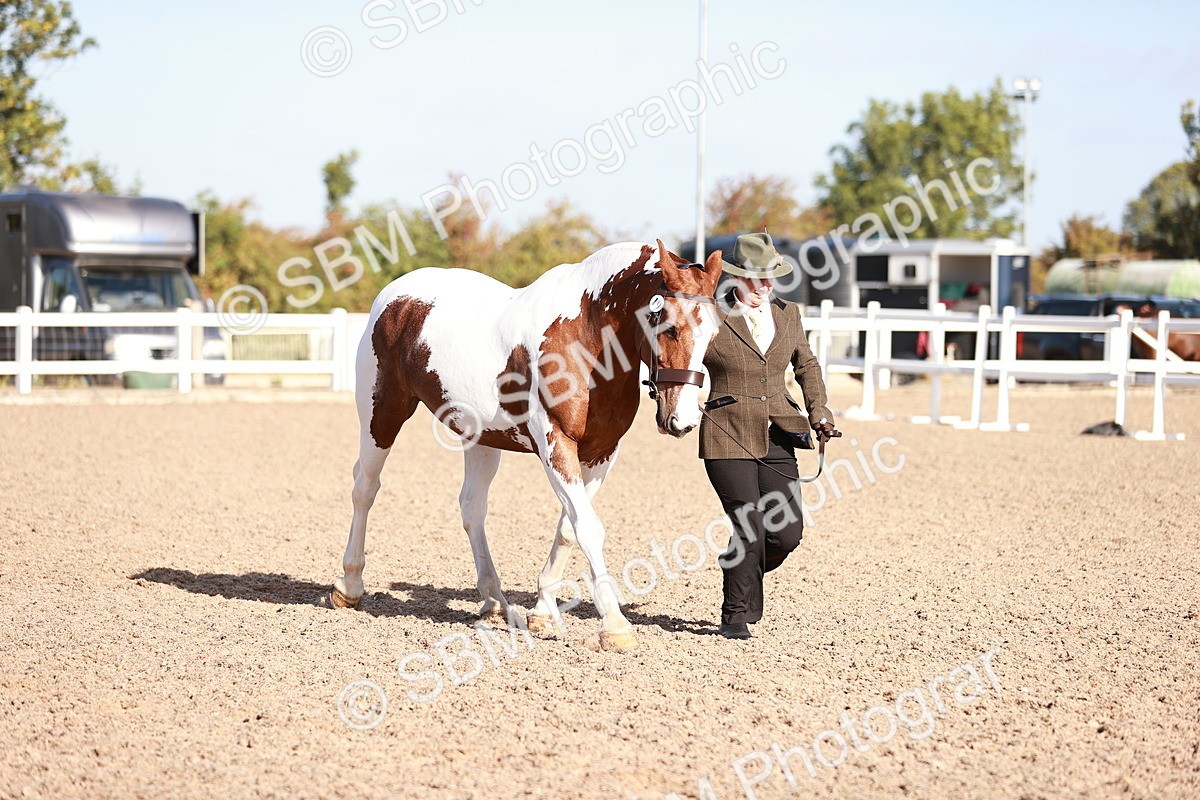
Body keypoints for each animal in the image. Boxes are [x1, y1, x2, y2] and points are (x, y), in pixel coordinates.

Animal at [330, 240, 724, 652]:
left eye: (714, 335)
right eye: (670, 327)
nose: (682, 421)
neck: (584, 334)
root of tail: (395, 296)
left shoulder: (602, 452)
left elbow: (569, 527)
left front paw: (543, 611)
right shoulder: (555, 441)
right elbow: (588, 527)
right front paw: (614, 625)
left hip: (480, 437)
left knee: (472, 508)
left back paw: (495, 603)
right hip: (381, 415)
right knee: (365, 489)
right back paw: (350, 586)